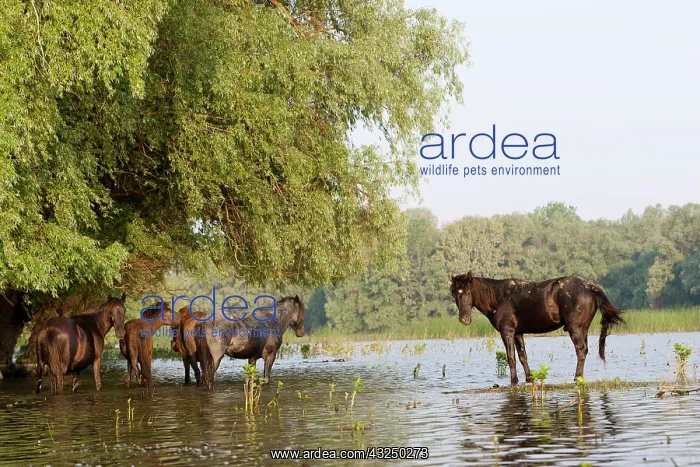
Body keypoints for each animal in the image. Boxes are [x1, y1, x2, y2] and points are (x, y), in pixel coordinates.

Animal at [450, 272, 624, 384]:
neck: (498, 298)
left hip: (575, 329)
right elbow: (522, 356)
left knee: (580, 350)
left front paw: (514, 380)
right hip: (584, 328)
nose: (464, 319)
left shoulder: (507, 332)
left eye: (468, 291)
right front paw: (529, 378)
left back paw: (576, 377)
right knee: (585, 350)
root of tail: (590, 286)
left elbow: (511, 358)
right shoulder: (518, 333)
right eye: (454, 294)